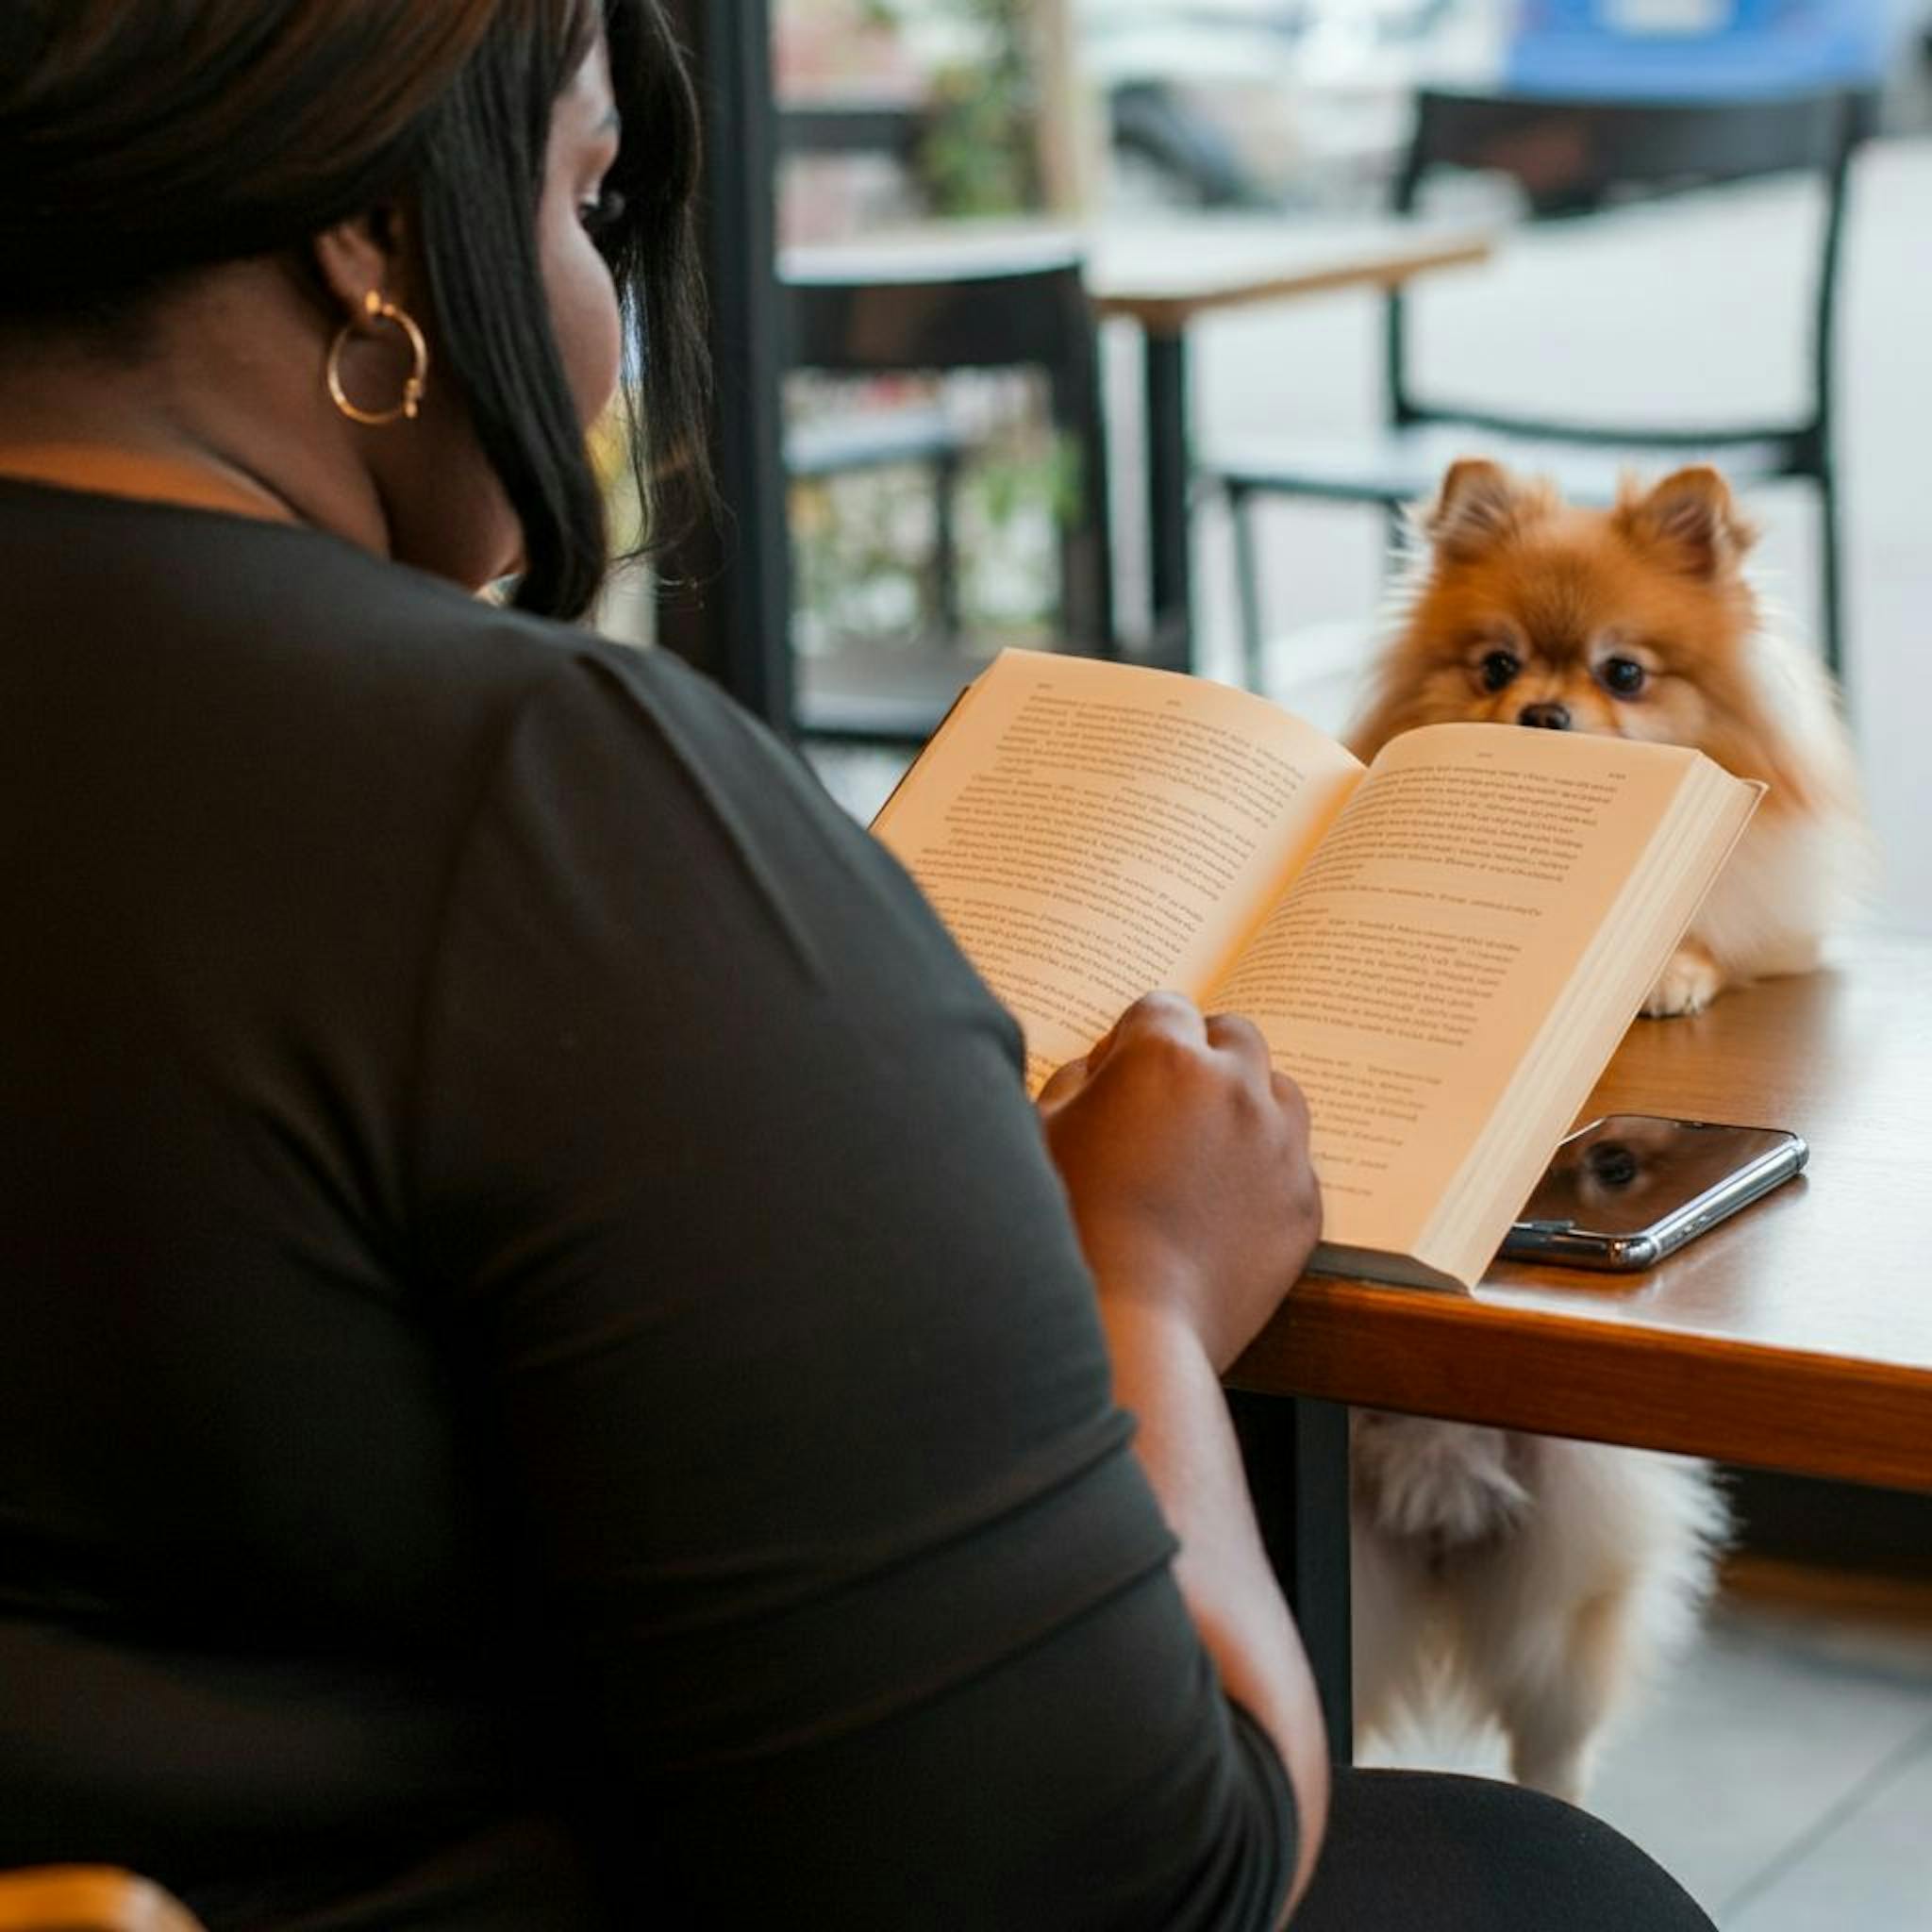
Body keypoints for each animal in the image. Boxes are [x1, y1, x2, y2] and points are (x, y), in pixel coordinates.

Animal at [1344, 459, 1870, 1800]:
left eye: (1623, 673)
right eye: (1492, 665)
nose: (1537, 712)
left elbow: (1705, 942)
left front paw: (1660, 971)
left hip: (1561, 1588)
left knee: (1552, 1743)